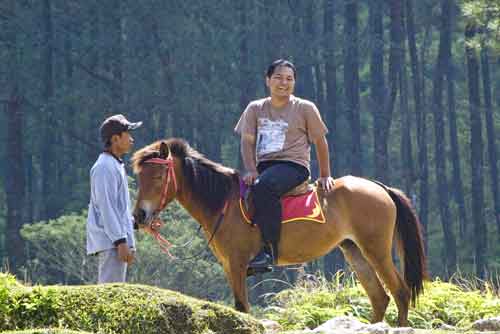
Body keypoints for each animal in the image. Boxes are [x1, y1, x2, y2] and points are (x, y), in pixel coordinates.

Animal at [132, 138, 426, 326]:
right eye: (139, 177)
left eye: (158, 177)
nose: (139, 216)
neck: (224, 203)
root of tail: (380, 187)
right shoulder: (229, 266)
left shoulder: (238, 264)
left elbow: (242, 307)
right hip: (354, 251)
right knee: (379, 298)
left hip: (376, 250)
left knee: (400, 292)